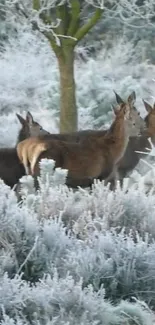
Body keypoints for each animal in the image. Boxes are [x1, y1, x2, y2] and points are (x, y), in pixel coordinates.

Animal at [16, 97, 145, 186]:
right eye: (137, 114)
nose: (143, 129)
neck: (112, 151)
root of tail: (23, 148)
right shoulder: (98, 176)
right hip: (41, 171)